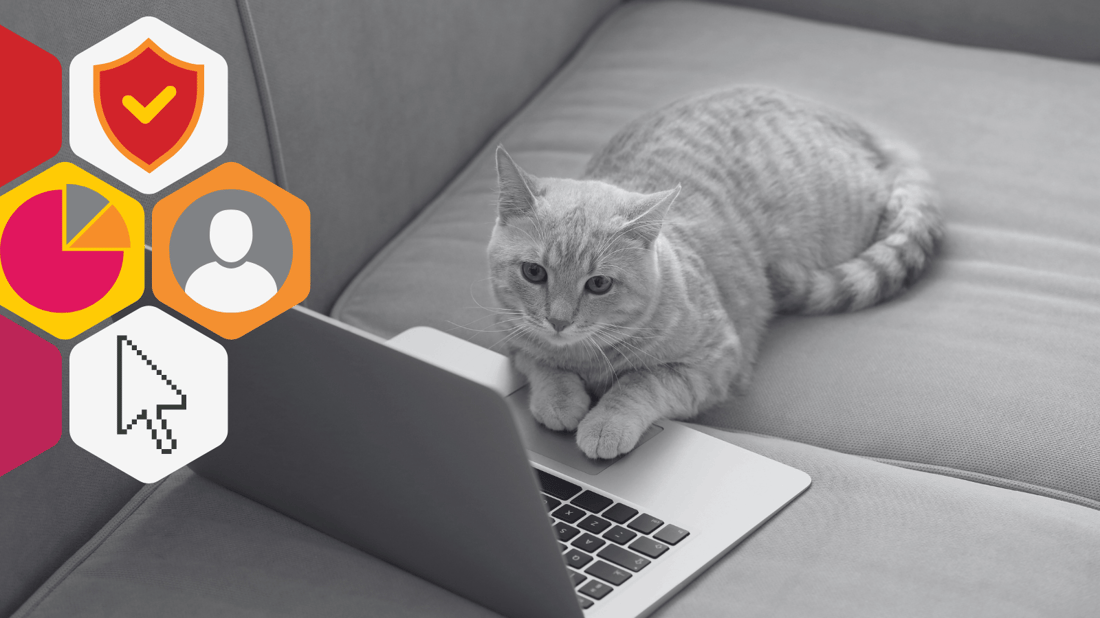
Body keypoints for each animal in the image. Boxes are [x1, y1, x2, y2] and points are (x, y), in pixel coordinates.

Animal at [490, 86, 946, 457]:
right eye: (534, 273)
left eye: (599, 284)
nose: (559, 321)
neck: (585, 356)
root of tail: (859, 126)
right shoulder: (511, 337)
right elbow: (540, 363)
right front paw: (559, 397)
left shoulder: (713, 363)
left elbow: (638, 383)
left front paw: (605, 421)